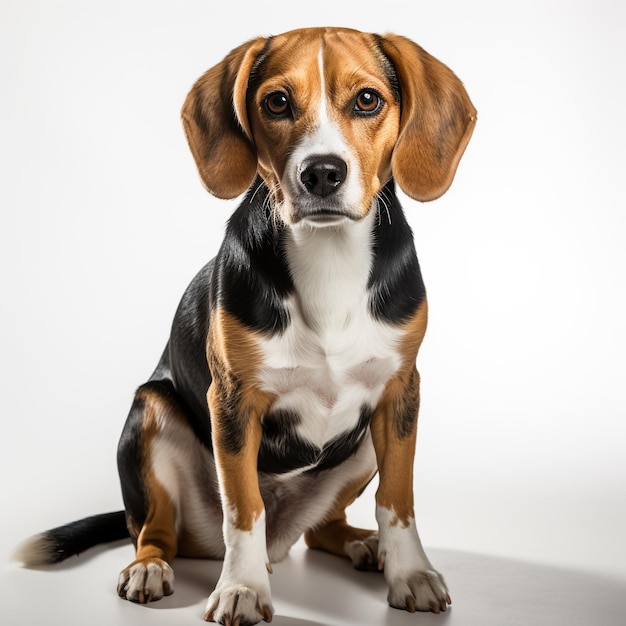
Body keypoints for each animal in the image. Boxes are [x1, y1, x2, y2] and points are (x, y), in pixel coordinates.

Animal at [13, 25, 472, 624]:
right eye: (276, 103)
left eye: (368, 100)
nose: (321, 173)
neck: (329, 257)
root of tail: (284, 538)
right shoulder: (231, 400)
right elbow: (244, 507)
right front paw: (242, 589)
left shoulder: (400, 394)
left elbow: (398, 499)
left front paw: (411, 573)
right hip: (150, 412)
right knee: (155, 530)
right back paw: (149, 568)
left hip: (362, 445)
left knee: (321, 531)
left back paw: (361, 544)